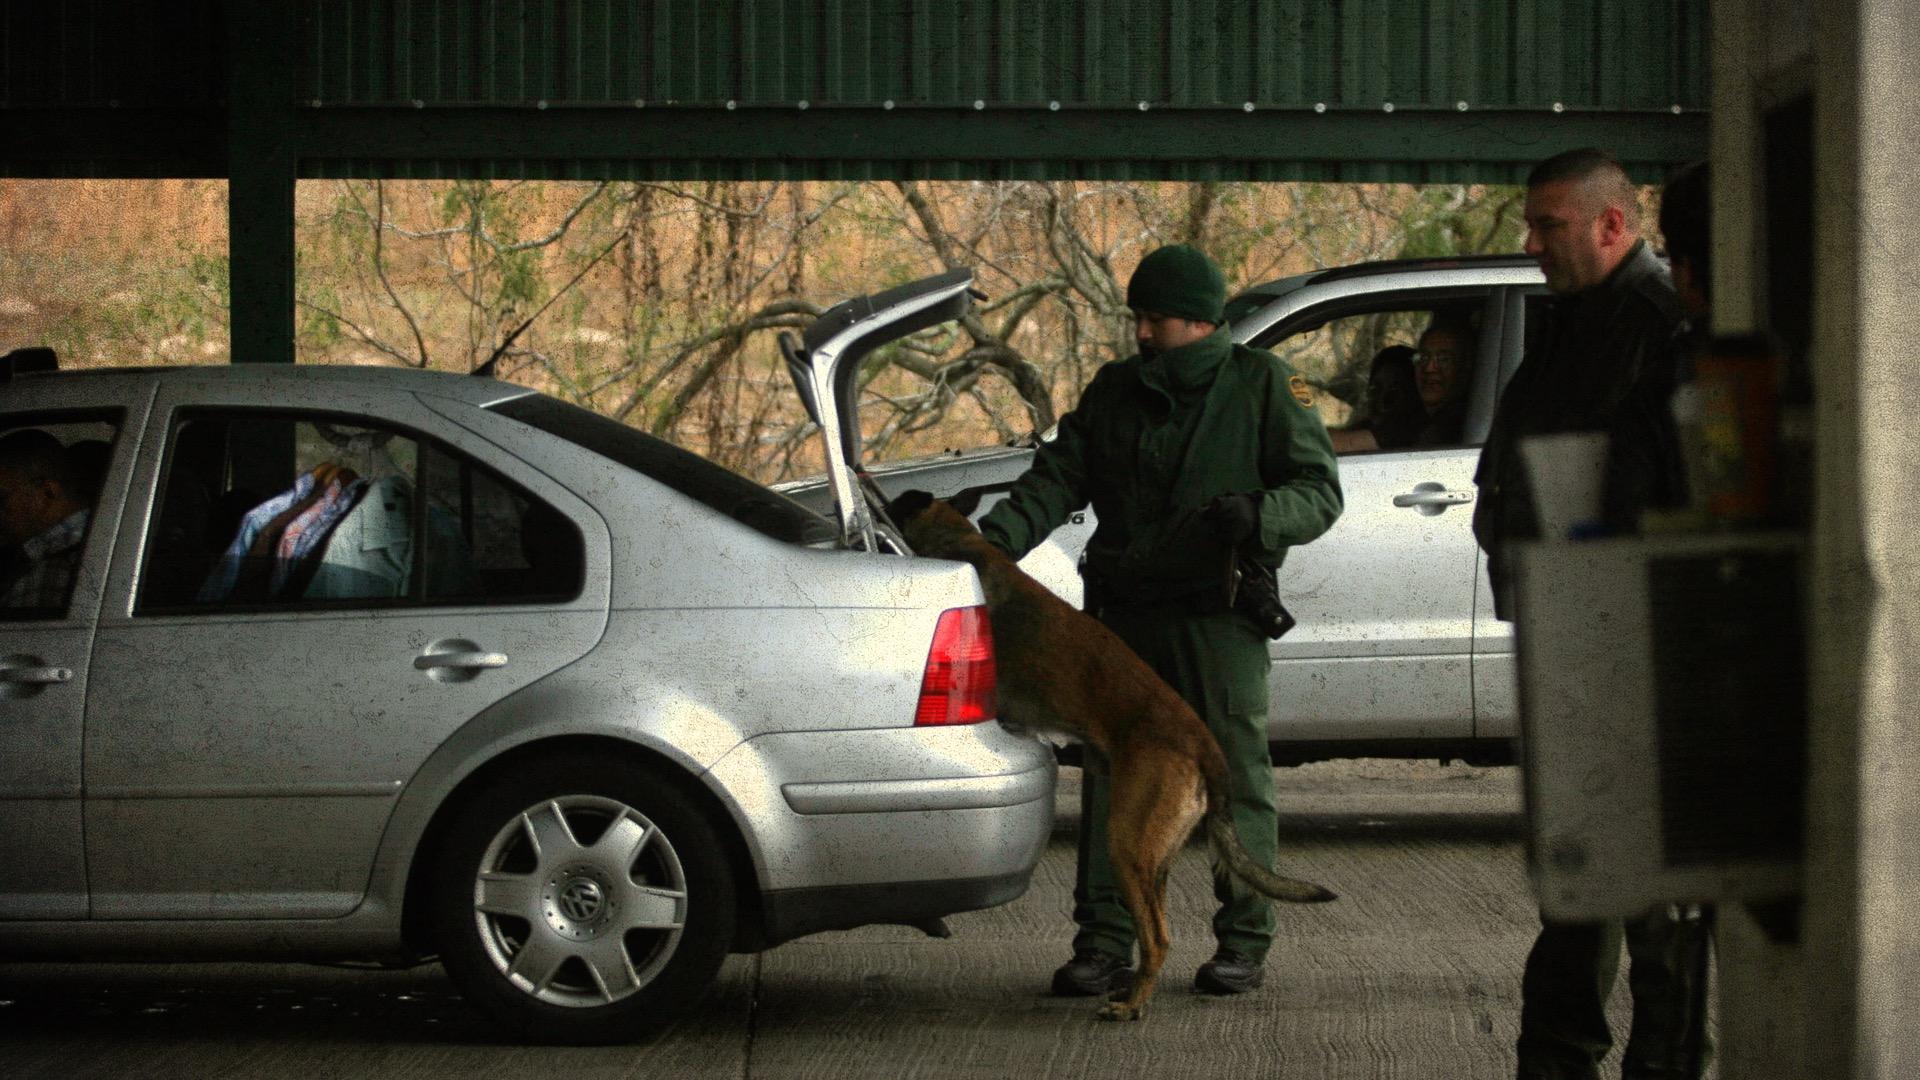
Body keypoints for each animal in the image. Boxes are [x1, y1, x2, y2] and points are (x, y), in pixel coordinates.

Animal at [883, 490, 1336, 1014]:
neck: (960, 537)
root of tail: (1203, 742)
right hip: (1153, 858)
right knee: (1159, 932)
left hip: (1127, 844)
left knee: (1158, 939)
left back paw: (1131, 1005)